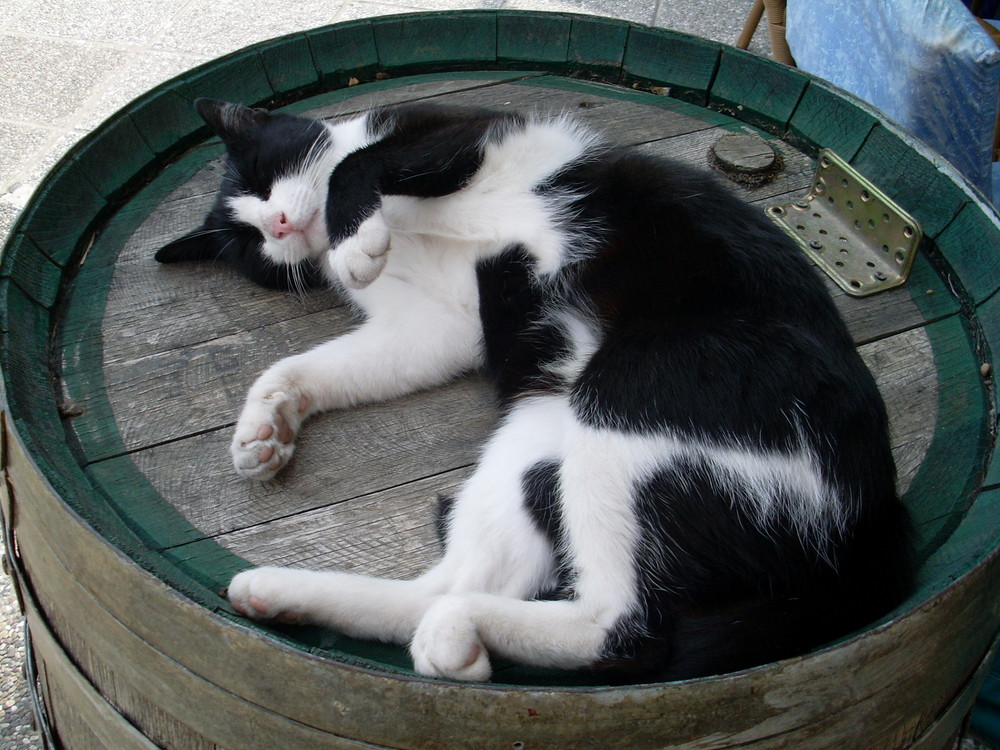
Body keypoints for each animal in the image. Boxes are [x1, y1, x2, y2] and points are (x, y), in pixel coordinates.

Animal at [158, 100, 916, 688]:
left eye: (267, 178)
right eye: (247, 243)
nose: (281, 228)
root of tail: (874, 518)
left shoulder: (467, 134)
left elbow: (356, 164)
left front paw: (354, 241)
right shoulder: (431, 329)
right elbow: (304, 365)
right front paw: (265, 426)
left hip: (627, 390)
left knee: (629, 633)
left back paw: (452, 629)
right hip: (541, 439)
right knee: (459, 588)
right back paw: (293, 596)